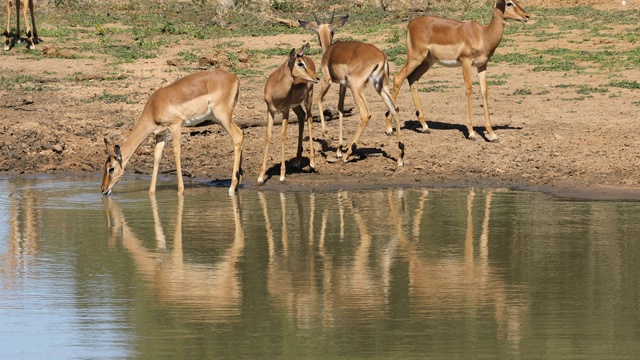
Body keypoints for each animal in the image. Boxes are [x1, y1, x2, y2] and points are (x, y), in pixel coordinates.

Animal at [102, 68, 245, 195]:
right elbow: (157, 156)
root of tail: (235, 78)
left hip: (222, 116)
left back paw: (232, 187)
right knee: (241, 133)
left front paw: (180, 190)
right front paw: (151, 192)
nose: (103, 190)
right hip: (219, 118)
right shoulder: (160, 134)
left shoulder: (175, 126)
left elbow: (176, 152)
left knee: (237, 136)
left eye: (111, 168)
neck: (154, 107)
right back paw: (238, 184)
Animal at [258, 44, 318, 186]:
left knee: (309, 120)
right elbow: (268, 136)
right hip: (295, 106)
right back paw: (297, 161)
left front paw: (282, 175)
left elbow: (283, 135)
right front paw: (261, 177)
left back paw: (312, 164)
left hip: (308, 99)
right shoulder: (270, 111)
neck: (277, 90)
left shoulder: (285, 110)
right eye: (300, 63)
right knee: (301, 117)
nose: (317, 77)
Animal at [298, 12, 402, 166]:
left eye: (317, 33)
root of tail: (382, 57)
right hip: (379, 87)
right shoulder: (343, 85)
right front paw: (339, 149)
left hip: (357, 87)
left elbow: (319, 99)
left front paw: (328, 139)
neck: (330, 51)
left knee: (366, 114)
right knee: (395, 108)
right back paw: (400, 156)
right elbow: (340, 107)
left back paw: (348, 154)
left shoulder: (327, 81)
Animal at [390, 0, 528, 141]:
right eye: (509, 3)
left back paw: (425, 127)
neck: (482, 35)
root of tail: (411, 24)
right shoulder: (466, 62)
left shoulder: (482, 65)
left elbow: (484, 91)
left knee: (412, 79)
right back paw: (389, 128)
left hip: (427, 62)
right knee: (398, 78)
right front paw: (471, 133)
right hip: (415, 58)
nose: (526, 16)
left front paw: (492, 134)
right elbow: (469, 89)